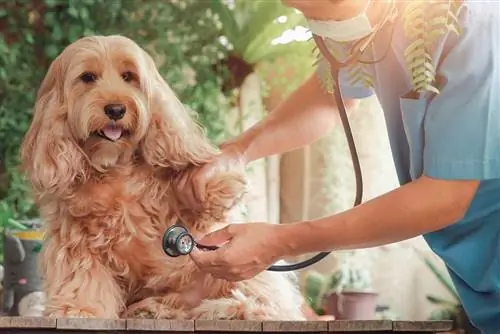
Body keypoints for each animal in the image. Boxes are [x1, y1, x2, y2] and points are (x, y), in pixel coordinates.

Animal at [19, 34, 306, 320]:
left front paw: (216, 183)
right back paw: (154, 309)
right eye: (88, 77)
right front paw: (78, 310)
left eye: (128, 76)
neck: (116, 168)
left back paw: (233, 309)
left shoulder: (192, 219)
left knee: (268, 301)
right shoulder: (75, 238)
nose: (115, 109)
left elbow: (200, 197)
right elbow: (82, 278)